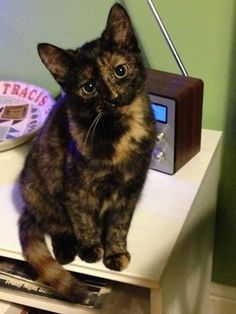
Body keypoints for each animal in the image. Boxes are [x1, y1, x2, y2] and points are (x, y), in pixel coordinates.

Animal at [18, 1, 157, 302]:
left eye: (120, 71)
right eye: (89, 87)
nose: (113, 100)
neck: (118, 134)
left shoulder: (131, 189)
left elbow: (119, 224)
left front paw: (115, 253)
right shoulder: (75, 187)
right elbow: (84, 220)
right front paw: (92, 248)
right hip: (38, 189)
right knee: (56, 224)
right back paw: (66, 251)